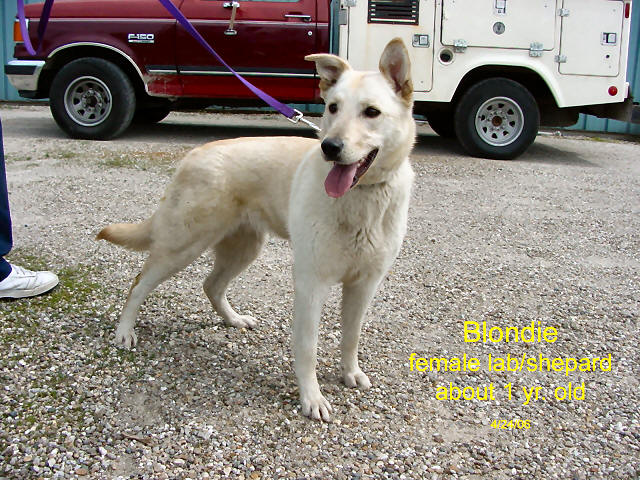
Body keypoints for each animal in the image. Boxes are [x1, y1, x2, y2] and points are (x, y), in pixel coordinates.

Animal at [97, 38, 415, 421]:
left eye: (371, 112)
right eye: (333, 108)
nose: (329, 147)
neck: (361, 198)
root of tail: (192, 156)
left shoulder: (364, 284)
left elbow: (351, 336)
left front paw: (350, 373)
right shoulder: (311, 283)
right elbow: (307, 346)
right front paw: (312, 398)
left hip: (244, 249)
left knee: (211, 285)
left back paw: (233, 320)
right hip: (183, 246)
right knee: (138, 284)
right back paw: (124, 332)